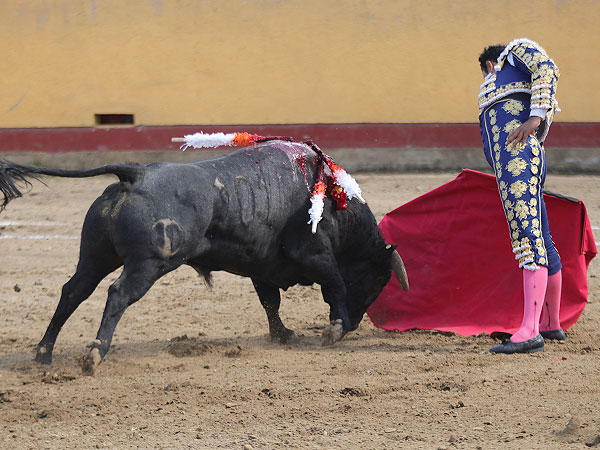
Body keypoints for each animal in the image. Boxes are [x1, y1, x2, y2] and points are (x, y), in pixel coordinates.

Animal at [1, 142, 408, 374]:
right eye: (378, 280)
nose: (356, 324)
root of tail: (136, 173)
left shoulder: (261, 266)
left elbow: (270, 302)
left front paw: (283, 335)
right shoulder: (314, 253)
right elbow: (334, 283)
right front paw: (334, 330)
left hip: (94, 256)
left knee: (73, 291)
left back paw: (43, 352)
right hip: (149, 263)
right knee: (117, 294)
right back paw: (94, 355)